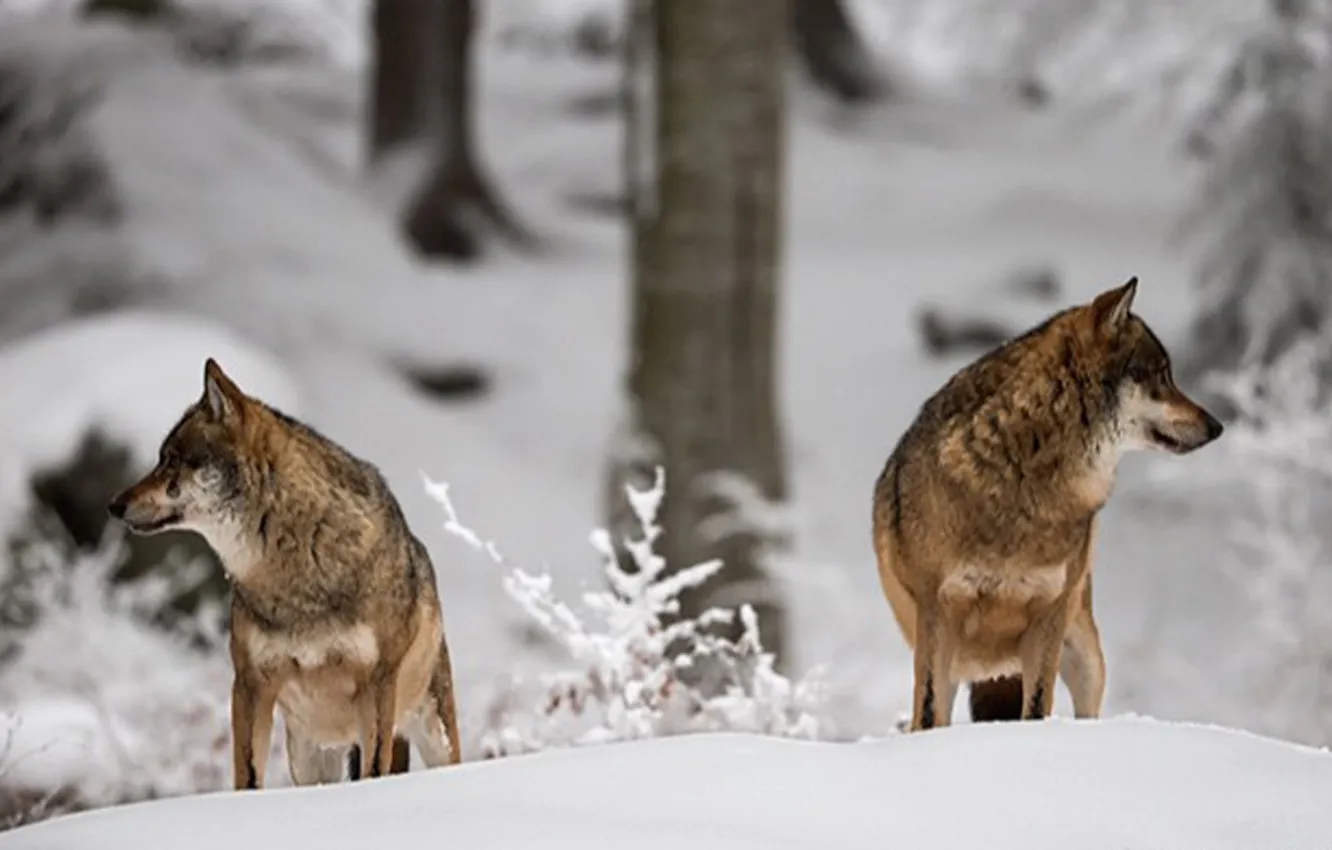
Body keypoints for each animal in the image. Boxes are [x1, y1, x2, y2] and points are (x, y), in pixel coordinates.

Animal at [108, 359, 462, 788]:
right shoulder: (249, 684)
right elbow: (247, 776)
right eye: (161, 458)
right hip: (309, 755)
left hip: (433, 732)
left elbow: (372, 772)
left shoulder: (378, 683)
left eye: (172, 460)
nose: (114, 504)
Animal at [872, 278, 1223, 731]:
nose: (1217, 426)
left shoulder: (1048, 618)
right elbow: (930, 715)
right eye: (1162, 376)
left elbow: (1036, 708)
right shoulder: (936, 615)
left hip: (1087, 657)